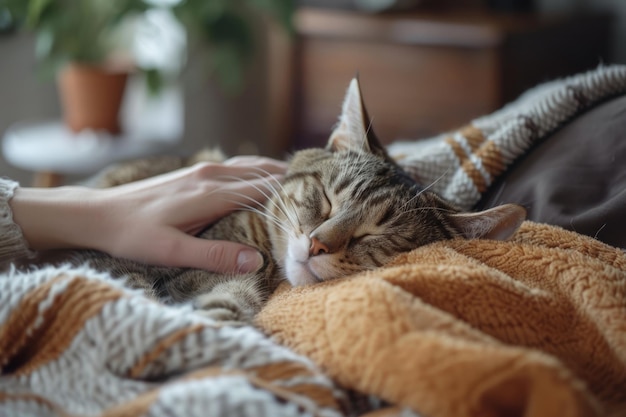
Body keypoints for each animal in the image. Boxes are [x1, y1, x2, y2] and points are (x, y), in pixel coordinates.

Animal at [68, 78, 528, 324]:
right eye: (327, 199)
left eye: (375, 235)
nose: (317, 244)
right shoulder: (115, 260)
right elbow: (133, 287)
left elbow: (221, 305)